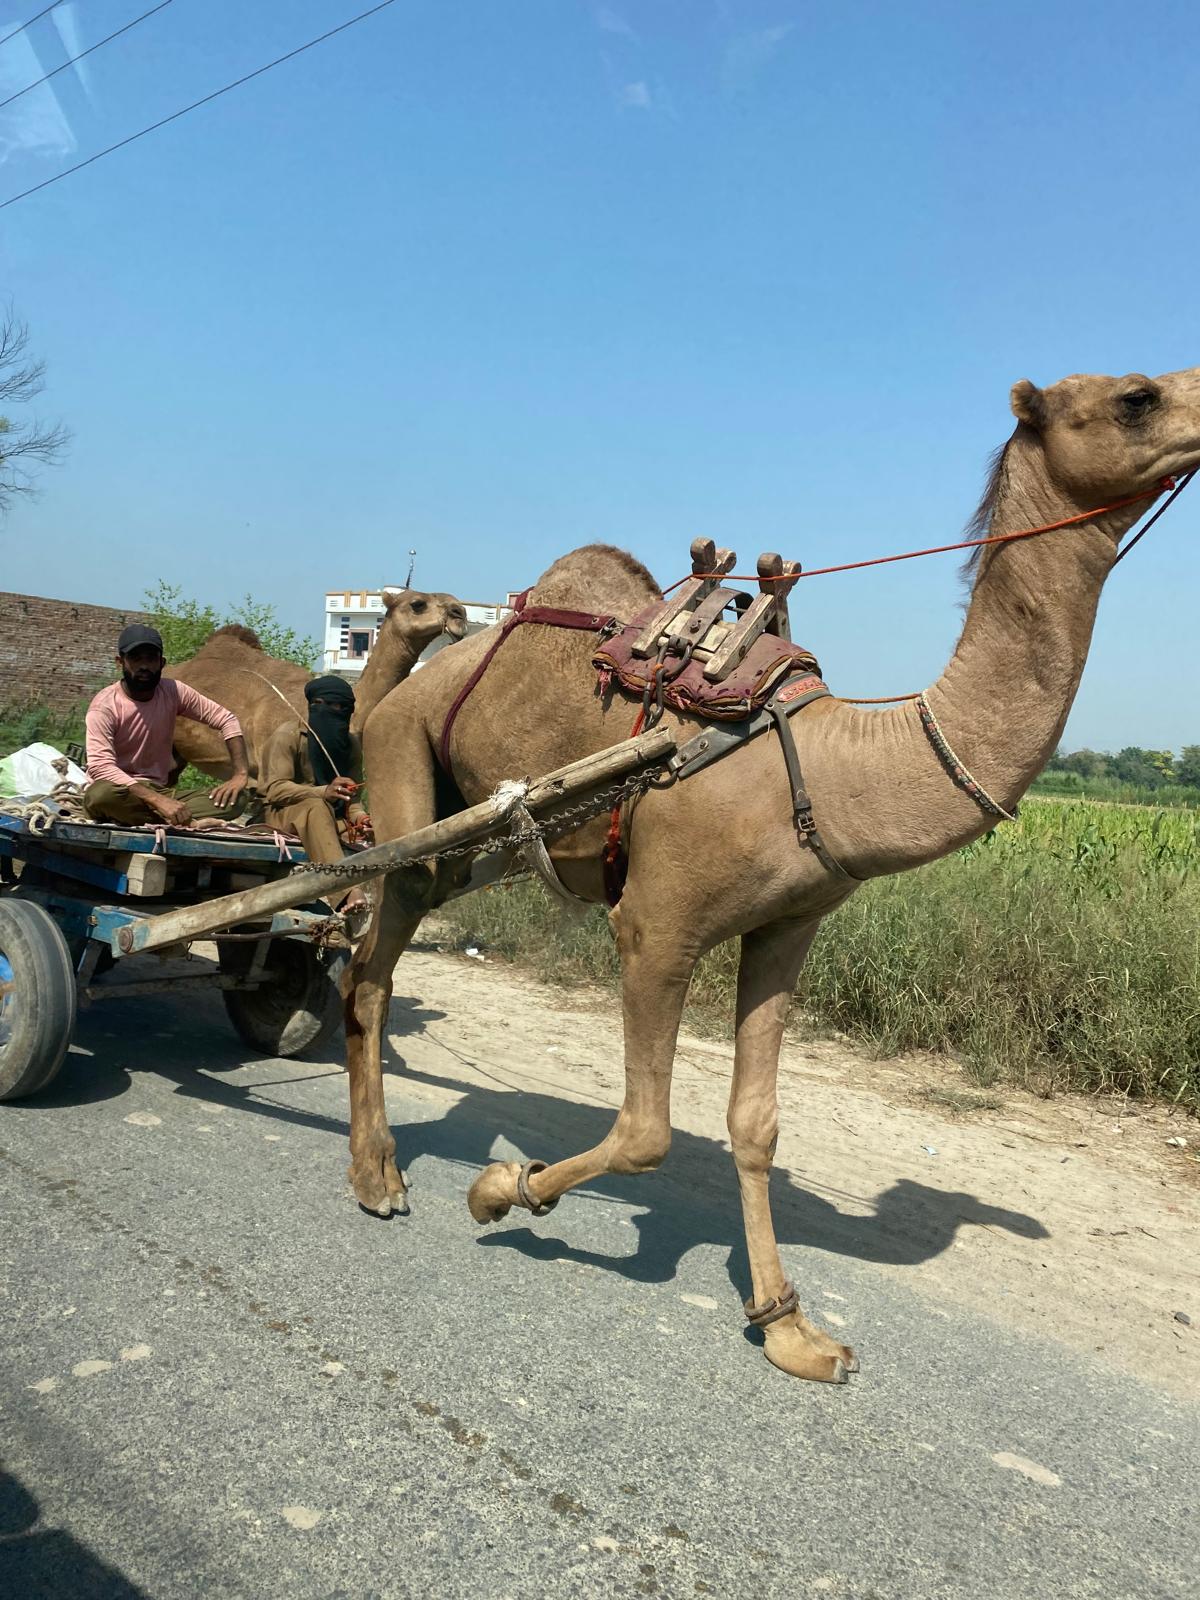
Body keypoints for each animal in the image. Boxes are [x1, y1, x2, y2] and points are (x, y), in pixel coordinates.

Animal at [344, 366, 1200, 1384]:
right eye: (1137, 396)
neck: (828, 761)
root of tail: (413, 683)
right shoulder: (657, 925)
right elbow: (647, 1130)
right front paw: (504, 1188)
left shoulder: (790, 926)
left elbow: (755, 1124)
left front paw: (791, 1330)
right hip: (403, 764)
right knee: (370, 969)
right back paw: (378, 1175)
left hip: (481, 845)